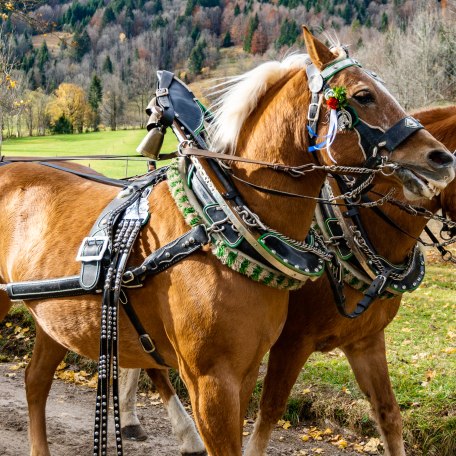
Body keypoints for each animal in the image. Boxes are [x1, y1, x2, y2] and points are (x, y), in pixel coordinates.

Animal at [116, 106, 456, 452]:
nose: (443, 163)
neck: (354, 228)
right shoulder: (292, 340)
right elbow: (270, 409)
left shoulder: (365, 340)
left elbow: (388, 414)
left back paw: (131, 419)